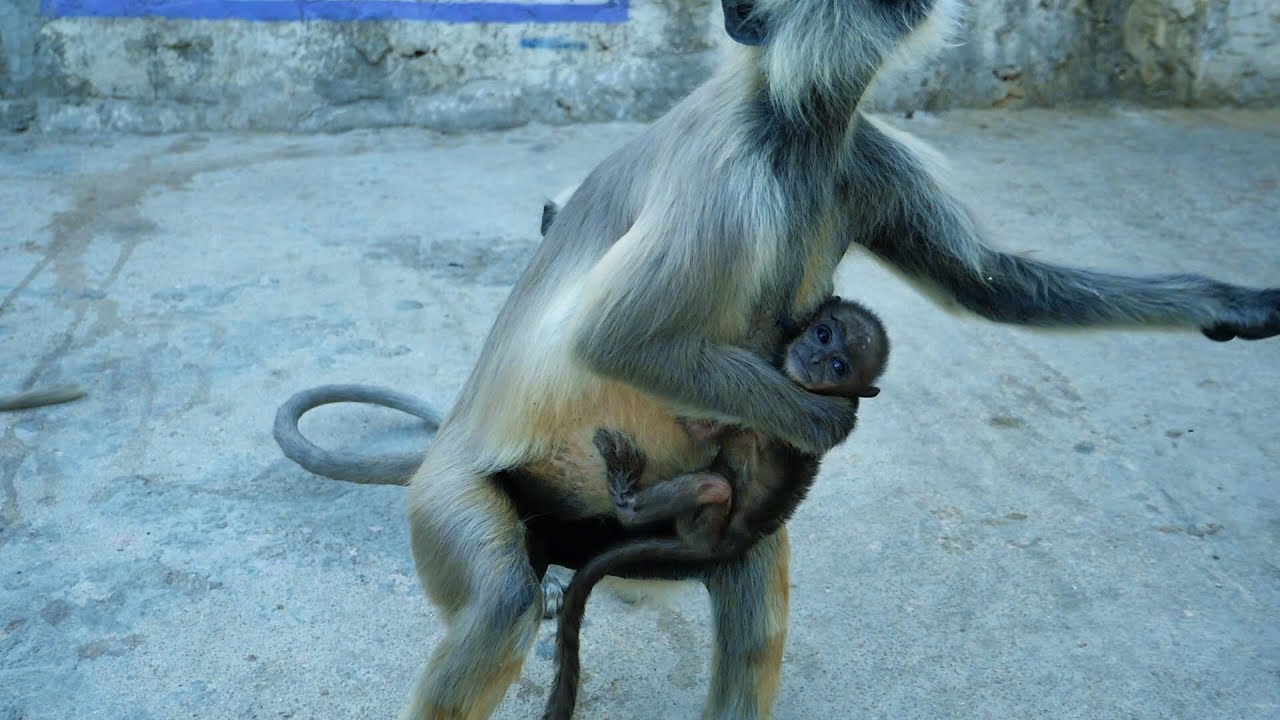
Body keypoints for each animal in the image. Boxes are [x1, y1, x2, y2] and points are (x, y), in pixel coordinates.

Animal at [542, 298, 888, 720]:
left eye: (838, 367)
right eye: (823, 334)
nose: (814, 357)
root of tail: (716, 546)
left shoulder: (764, 424)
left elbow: (701, 431)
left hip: (703, 522)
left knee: (716, 486)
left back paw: (628, 500)